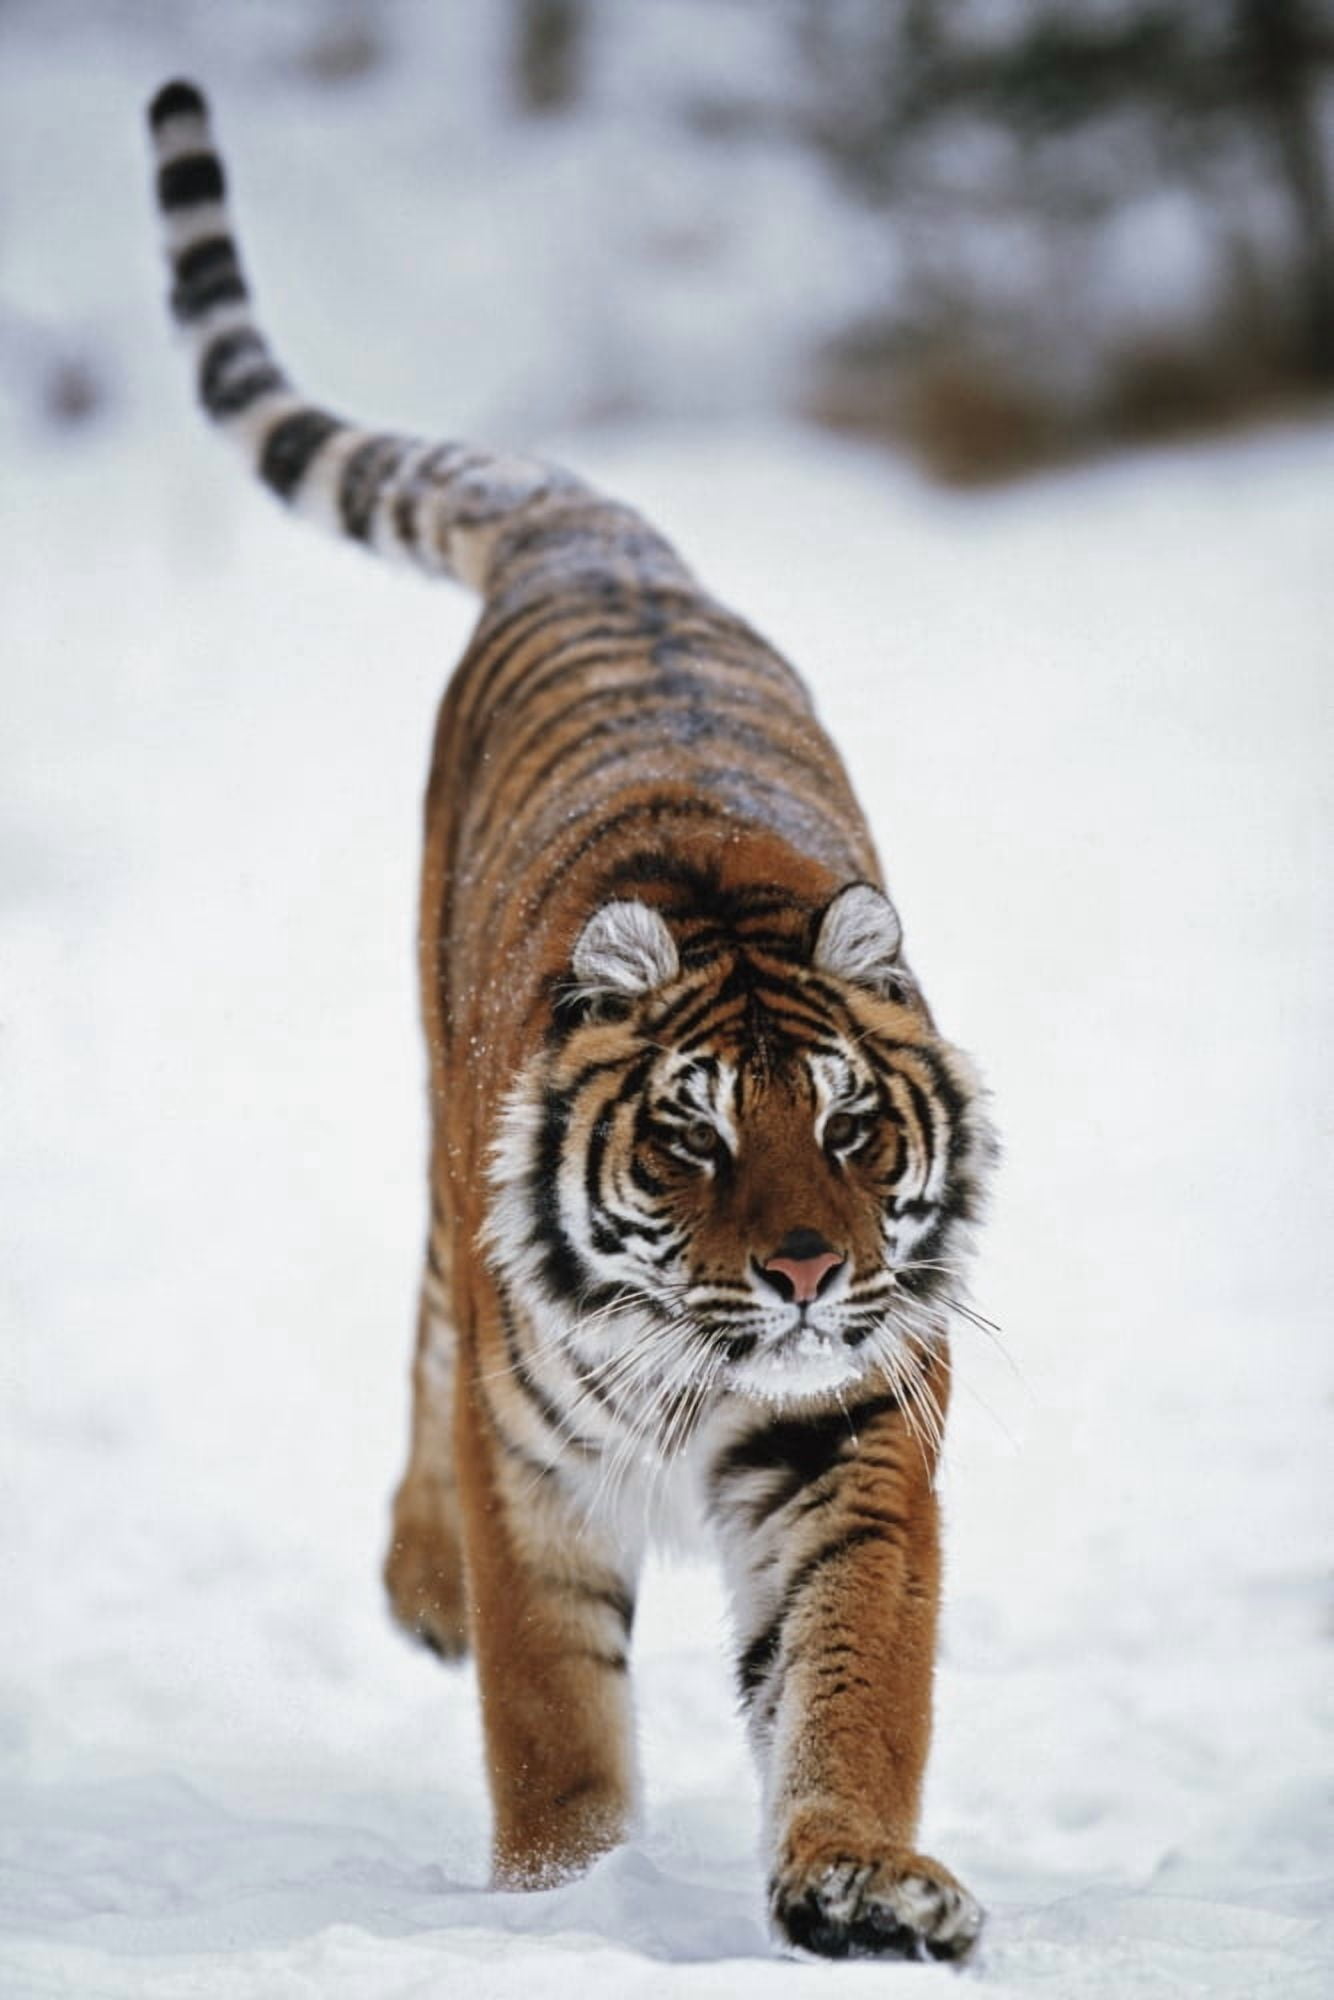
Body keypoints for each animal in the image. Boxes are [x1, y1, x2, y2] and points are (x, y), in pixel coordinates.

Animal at [146, 79, 997, 1963]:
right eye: (689, 1138)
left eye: (850, 1129)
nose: (806, 1274)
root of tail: (602, 541)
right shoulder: (529, 1464)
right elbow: (550, 1708)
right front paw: (562, 1904)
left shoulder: (855, 1433)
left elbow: (854, 1678)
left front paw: (858, 1881)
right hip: (433, 1142)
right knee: (417, 1331)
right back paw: (421, 1588)